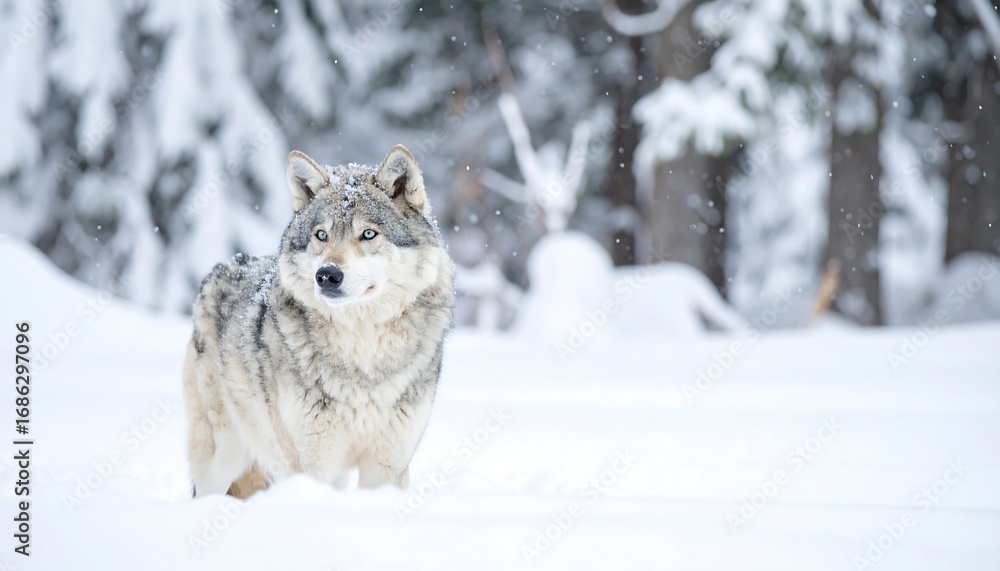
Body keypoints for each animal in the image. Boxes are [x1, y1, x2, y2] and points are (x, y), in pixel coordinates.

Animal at [182, 145, 454, 498]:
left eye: (368, 233)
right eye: (321, 235)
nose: (326, 275)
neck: (361, 355)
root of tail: (224, 266)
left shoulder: (388, 468)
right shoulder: (312, 465)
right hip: (221, 460)